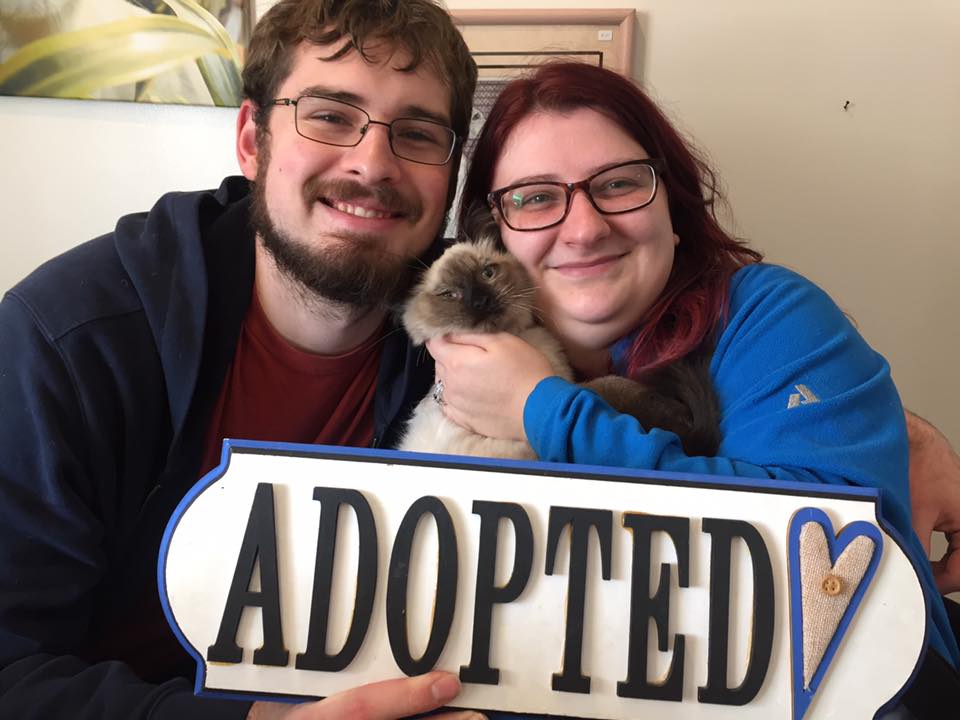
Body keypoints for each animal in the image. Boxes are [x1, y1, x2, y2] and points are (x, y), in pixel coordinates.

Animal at [398, 236, 720, 462]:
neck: (521, 337)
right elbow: (610, 386)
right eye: (450, 295)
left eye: (487, 273)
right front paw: (673, 410)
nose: (480, 302)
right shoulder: (566, 385)